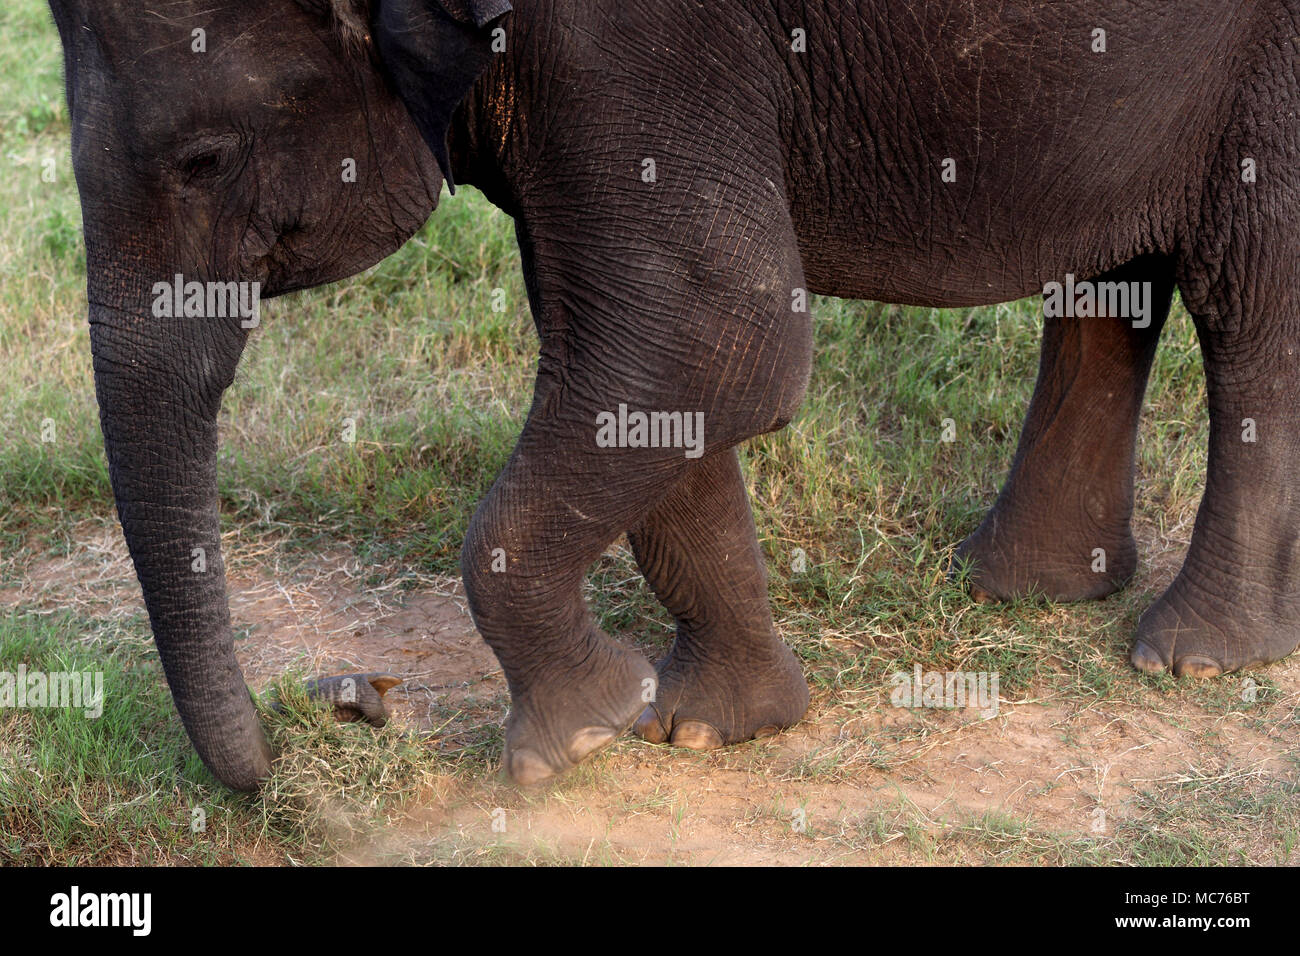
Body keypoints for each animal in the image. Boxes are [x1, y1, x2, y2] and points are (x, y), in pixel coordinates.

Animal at [48, 0, 1300, 790]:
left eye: (205, 158)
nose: (341, 704)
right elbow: (642, 354)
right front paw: (703, 730)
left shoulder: (627, 42)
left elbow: (711, 335)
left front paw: (582, 737)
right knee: (1111, 274)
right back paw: (1023, 589)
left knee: (1250, 297)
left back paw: (1195, 656)